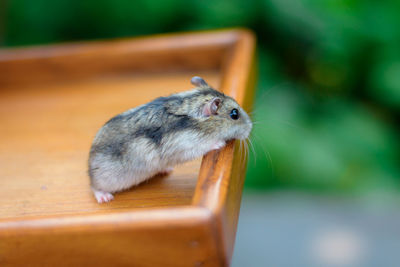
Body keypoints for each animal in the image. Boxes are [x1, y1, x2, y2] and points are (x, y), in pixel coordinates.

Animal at [88, 76, 252, 204]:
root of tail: (89, 166)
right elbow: (205, 145)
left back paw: (166, 170)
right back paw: (105, 197)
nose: (250, 127)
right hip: (106, 179)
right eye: (234, 114)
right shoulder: (185, 146)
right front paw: (220, 143)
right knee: (94, 186)